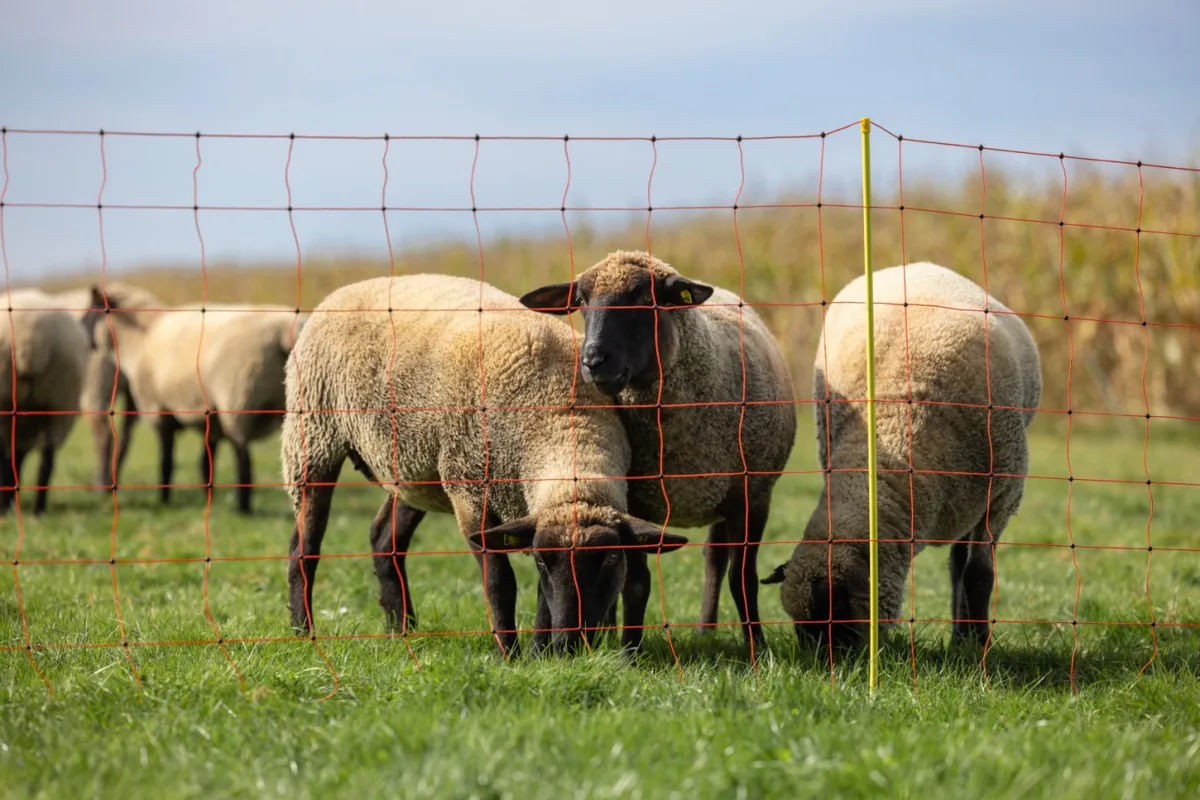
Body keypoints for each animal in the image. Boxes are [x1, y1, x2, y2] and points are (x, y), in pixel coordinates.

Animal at [0, 288, 90, 515]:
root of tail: (30, 341)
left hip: (7, 400)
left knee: (5, 456)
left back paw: (9, 508)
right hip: (59, 401)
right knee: (47, 459)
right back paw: (38, 509)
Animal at [80, 283, 305, 514]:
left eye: (92, 311)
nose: (82, 335)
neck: (140, 338)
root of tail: (284, 331)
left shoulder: (160, 410)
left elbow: (166, 460)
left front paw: (164, 499)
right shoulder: (210, 417)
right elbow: (206, 462)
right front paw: (208, 495)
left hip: (238, 398)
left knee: (243, 457)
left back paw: (243, 508)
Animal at [281, 273, 689, 657]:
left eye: (612, 560)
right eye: (543, 562)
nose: (570, 642)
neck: (562, 422)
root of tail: (352, 287)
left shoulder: (529, 506)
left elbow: (542, 598)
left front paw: (542, 655)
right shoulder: (472, 495)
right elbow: (499, 583)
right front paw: (509, 654)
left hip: (415, 468)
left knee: (385, 540)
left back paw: (402, 630)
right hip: (313, 437)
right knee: (304, 548)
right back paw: (303, 632)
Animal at [518, 250, 798, 649]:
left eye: (642, 297)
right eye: (581, 301)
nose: (593, 361)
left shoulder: (753, 497)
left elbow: (742, 579)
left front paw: (756, 647)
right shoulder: (636, 503)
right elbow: (634, 582)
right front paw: (628, 649)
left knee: (716, 561)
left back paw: (706, 629)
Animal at [761, 261, 1042, 650]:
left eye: (835, 612)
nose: (816, 663)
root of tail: (914, 265)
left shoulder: (1003, 495)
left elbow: (979, 575)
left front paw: (980, 645)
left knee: (962, 563)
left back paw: (966, 637)